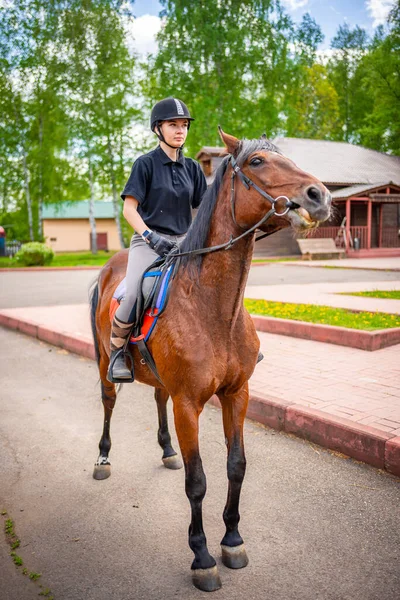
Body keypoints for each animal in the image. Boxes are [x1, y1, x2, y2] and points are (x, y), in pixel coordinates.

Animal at [90, 129, 332, 592]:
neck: (212, 306)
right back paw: (103, 459)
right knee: (109, 403)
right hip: (106, 366)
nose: (320, 196)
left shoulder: (237, 394)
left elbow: (236, 466)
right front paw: (201, 556)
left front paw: (233, 539)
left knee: (157, 399)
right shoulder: (189, 405)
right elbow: (197, 480)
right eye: (256, 162)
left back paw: (166, 450)